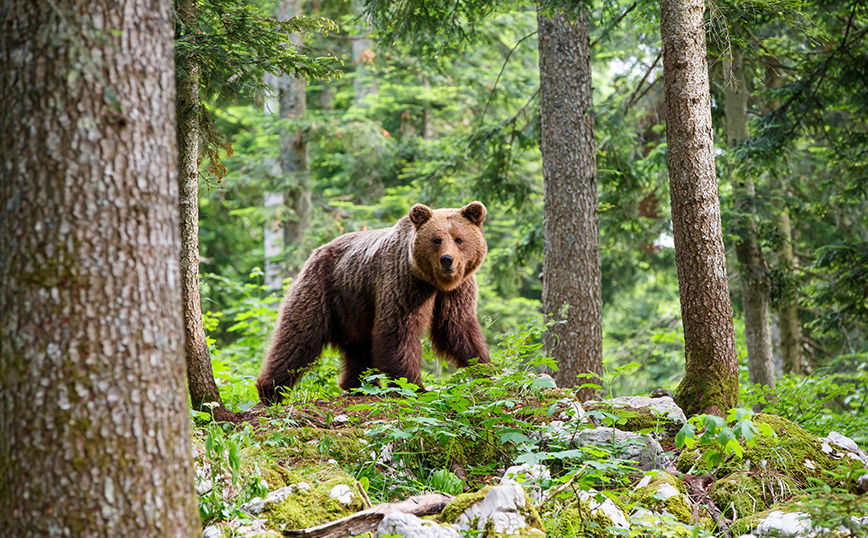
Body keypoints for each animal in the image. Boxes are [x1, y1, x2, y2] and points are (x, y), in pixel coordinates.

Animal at [254, 201, 492, 402]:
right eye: (436, 239)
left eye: (459, 239)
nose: (447, 260)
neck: (433, 282)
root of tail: (317, 251)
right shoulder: (403, 282)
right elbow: (397, 329)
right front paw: (415, 386)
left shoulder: (457, 290)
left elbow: (457, 327)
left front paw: (485, 370)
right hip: (322, 289)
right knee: (298, 336)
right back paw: (271, 391)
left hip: (354, 308)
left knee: (358, 348)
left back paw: (358, 385)